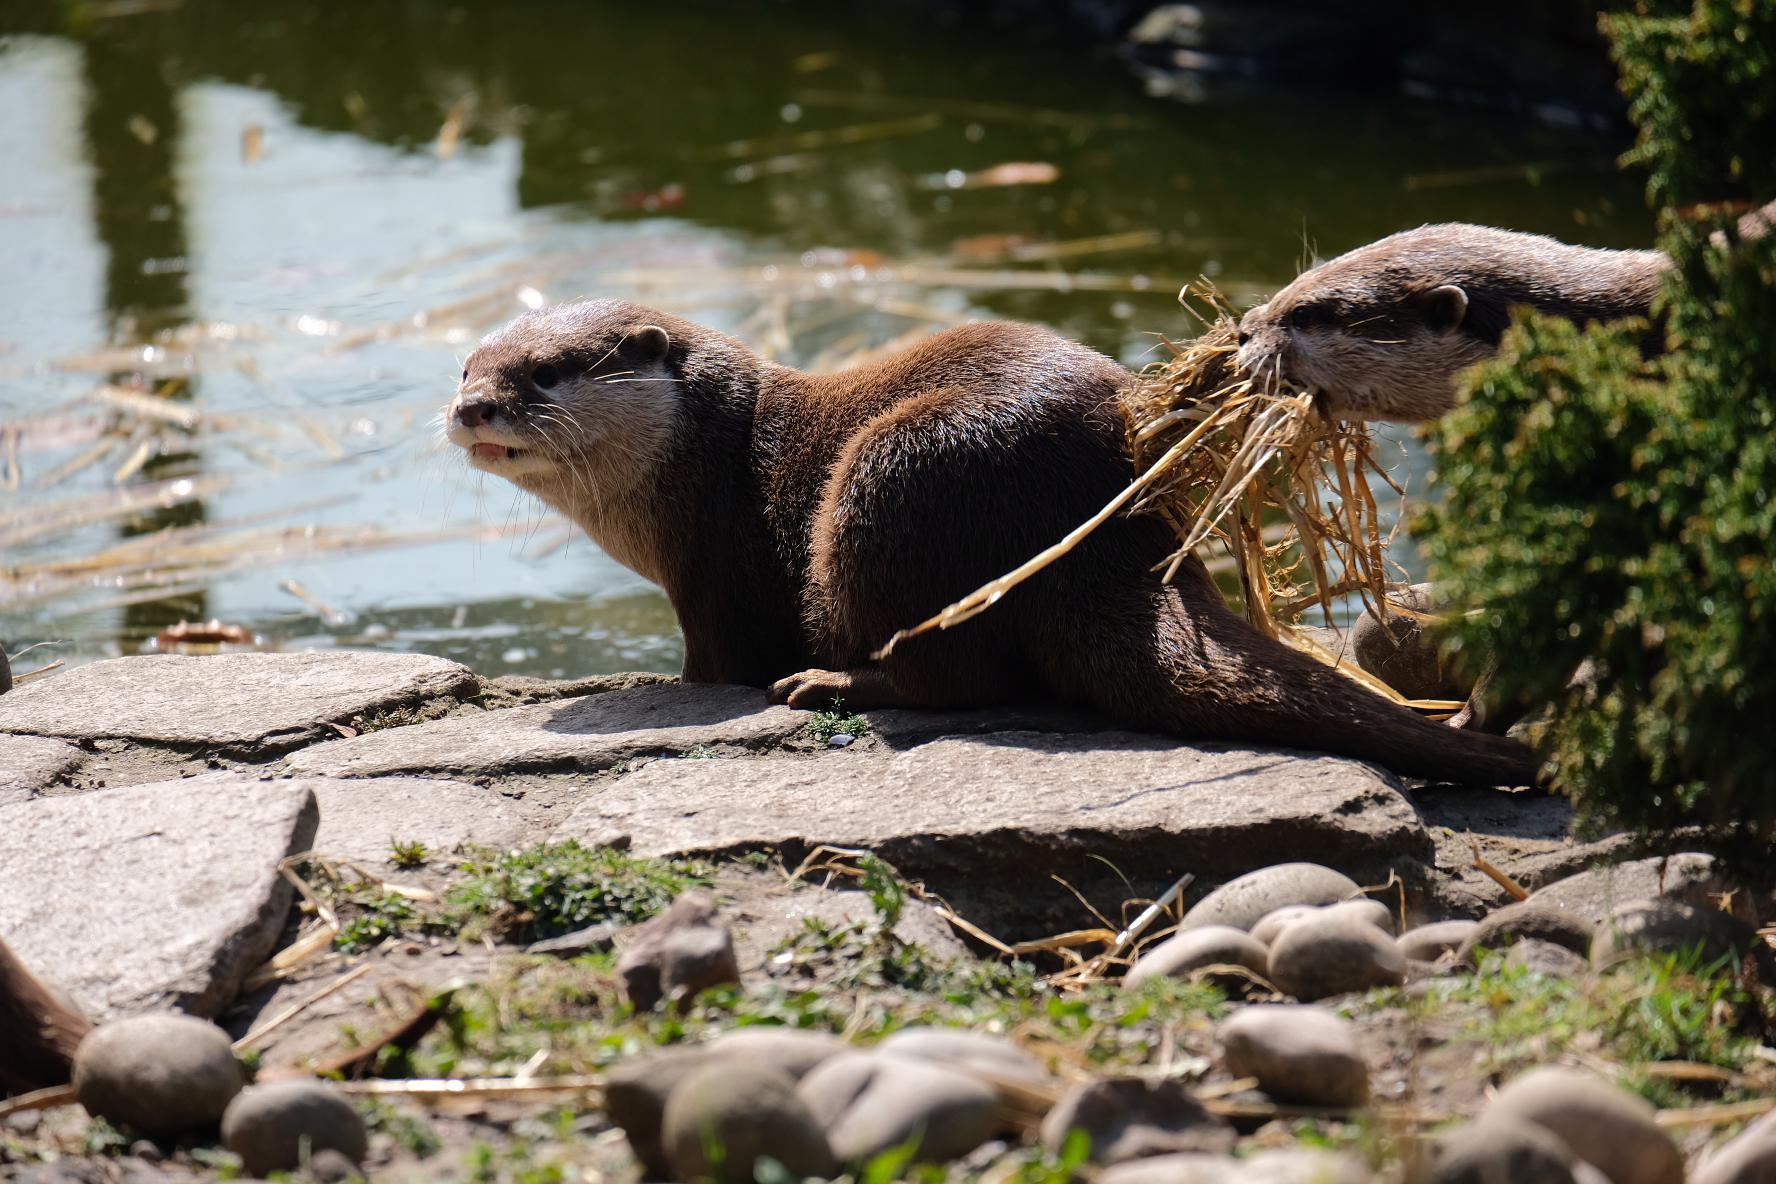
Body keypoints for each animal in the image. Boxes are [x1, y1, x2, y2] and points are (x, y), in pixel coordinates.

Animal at [447, 300, 1538, 785]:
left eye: (545, 371)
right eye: (467, 362)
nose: (469, 406)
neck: (707, 454)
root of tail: (1096, 525)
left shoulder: (710, 577)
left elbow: (713, 663)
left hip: (889, 478)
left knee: (956, 676)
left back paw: (832, 682)